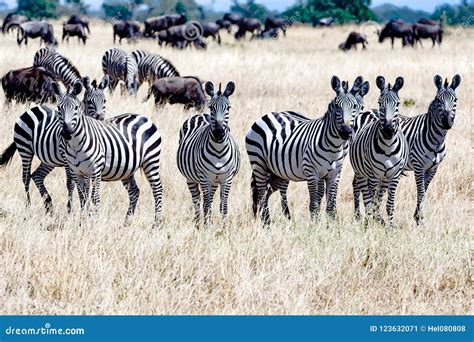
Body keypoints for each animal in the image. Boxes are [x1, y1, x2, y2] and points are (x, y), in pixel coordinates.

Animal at [0, 76, 109, 212]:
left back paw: (49, 206)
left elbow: (86, 185)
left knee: (37, 175)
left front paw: (85, 207)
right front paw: (70, 210)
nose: (100, 119)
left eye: (104, 101)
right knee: (25, 177)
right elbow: (70, 183)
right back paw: (28, 207)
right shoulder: (68, 161)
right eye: (89, 102)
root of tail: (33, 108)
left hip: (48, 160)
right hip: (25, 149)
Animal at [51, 81, 164, 223]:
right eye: (59, 108)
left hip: (151, 160)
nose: (67, 133)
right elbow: (82, 196)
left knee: (157, 189)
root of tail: (143, 117)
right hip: (127, 169)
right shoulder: (76, 171)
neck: (75, 145)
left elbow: (94, 196)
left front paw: (94, 220)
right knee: (134, 192)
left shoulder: (95, 171)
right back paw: (126, 222)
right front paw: (82, 221)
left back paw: (156, 222)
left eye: (76, 108)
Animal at [176, 81, 239, 228]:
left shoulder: (227, 178)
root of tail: (200, 115)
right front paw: (207, 228)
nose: (219, 132)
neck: (219, 150)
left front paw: (224, 228)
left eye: (228, 107)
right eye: (211, 107)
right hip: (191, 178)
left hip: (214, 180)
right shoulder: (204, 177)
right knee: (197, 200)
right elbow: (206, 205)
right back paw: (198, 224)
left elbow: (223, 205)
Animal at [246, 75, 368, 224]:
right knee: (262, 193)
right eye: (337, 106)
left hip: (278, 171)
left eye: (356, 107)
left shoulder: (335, 175)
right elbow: (314, 203)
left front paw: (331, 225)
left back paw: (275, 219)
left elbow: (330, 204)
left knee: (267, 192)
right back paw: (267, 223)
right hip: (259, 164)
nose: (346, 132)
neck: (334, 147)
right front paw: (314, 225)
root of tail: (266, 115)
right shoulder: (312, 174)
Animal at [350, 77, 410, 227]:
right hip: (361, 172)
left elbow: (388, 204)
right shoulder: (373, 175)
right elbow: (371, 201)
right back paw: (361, 218)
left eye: (398, 104)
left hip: (384, 178)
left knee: (378, 197)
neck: (388, 148)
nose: (388, 130)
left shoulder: (394, 176)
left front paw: (390, 226)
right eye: (380, 102)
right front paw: (371, 223)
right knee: (360, 190)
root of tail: (369, 111)